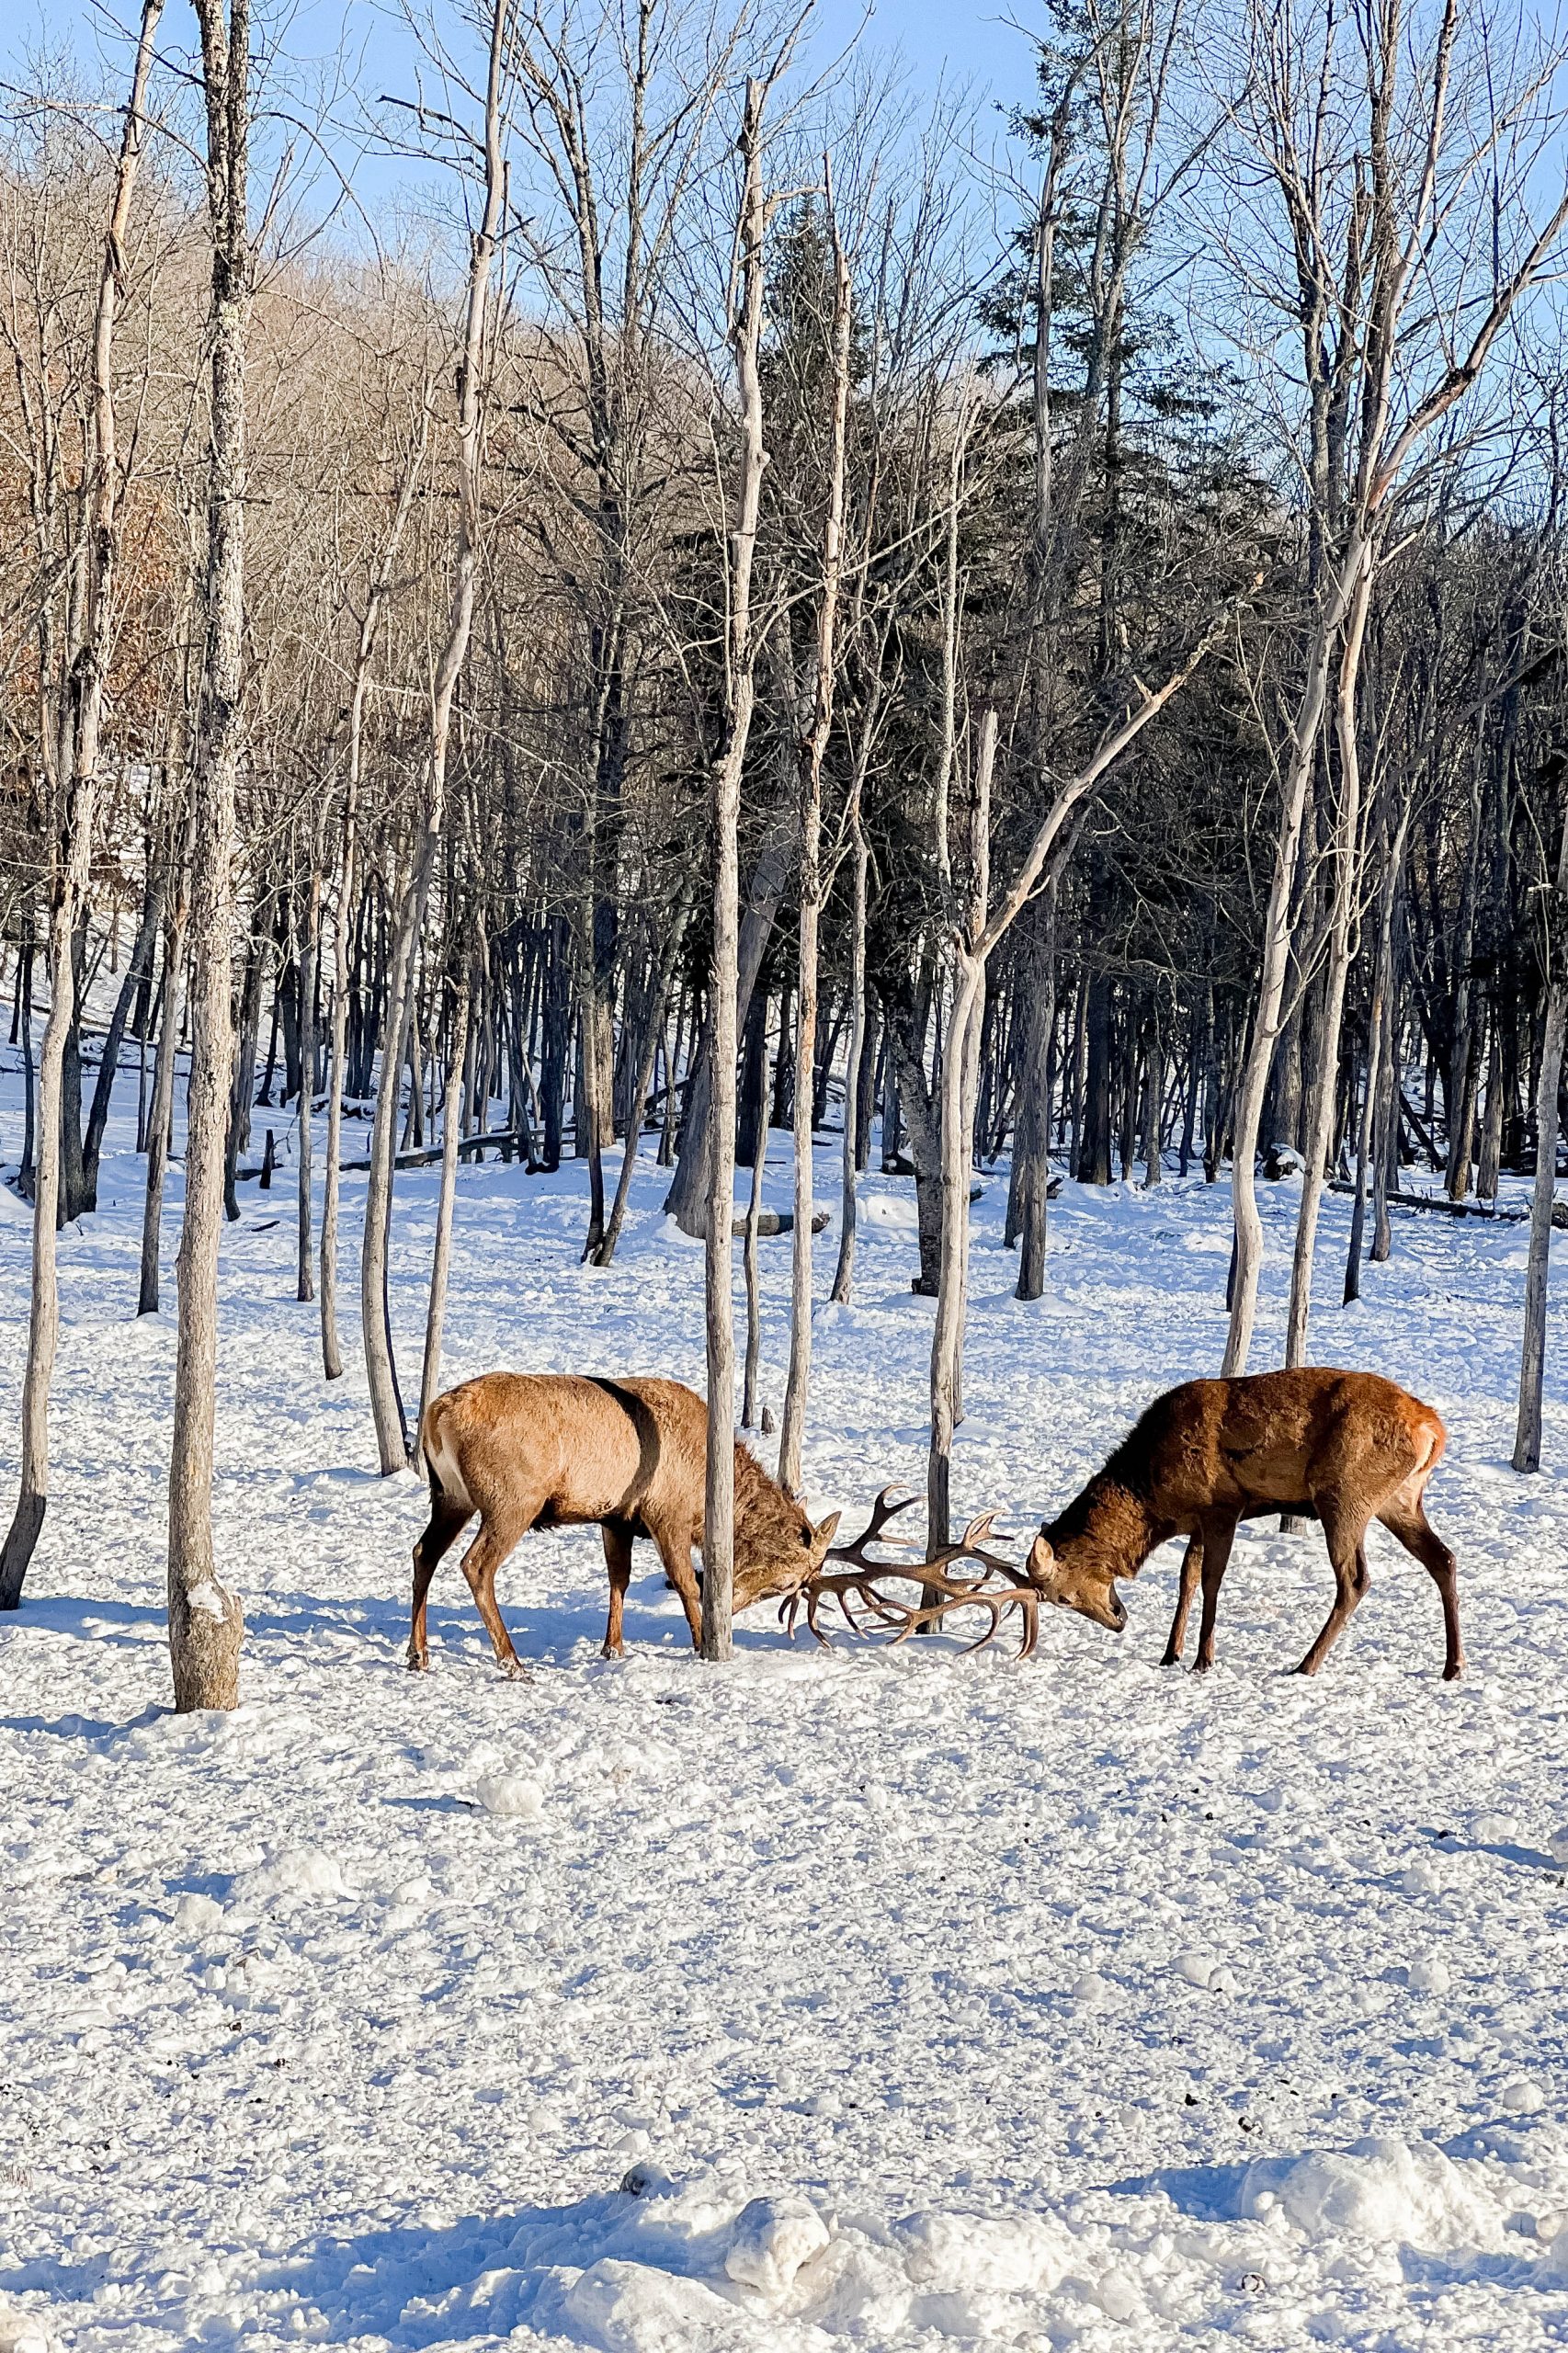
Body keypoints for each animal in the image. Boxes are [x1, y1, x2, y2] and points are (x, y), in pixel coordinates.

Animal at [409, 1374, 837, 1684]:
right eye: (786, 1584)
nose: (730, 1609)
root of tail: (436, 1417)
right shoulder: (666, 1513)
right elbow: (685, 1582)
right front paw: (701, 1643)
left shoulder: (616, 1519)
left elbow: (619, 1578)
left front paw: (613, 1648)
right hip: (512, 1501)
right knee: (476, 1564)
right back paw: (513, 1663)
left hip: (450, 1496)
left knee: (423, 1553)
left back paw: (418, 1655)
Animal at [1026, 1374, 1449, 1684]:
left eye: (1063, 1598)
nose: (1118, 1620)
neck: (1155, 1499)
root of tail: (1432, 1429)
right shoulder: (1199, 1521)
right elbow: (1187, 1577)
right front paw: (1170, 1653)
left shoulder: (1223, 1506)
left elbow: (1211, 1580)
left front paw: (1203, 1659)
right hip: (1401, 1500)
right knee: (1442, 1558)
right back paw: (1453, 1666)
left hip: (1345, 1496)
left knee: (1356, 1580)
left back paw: (1306, 1664)